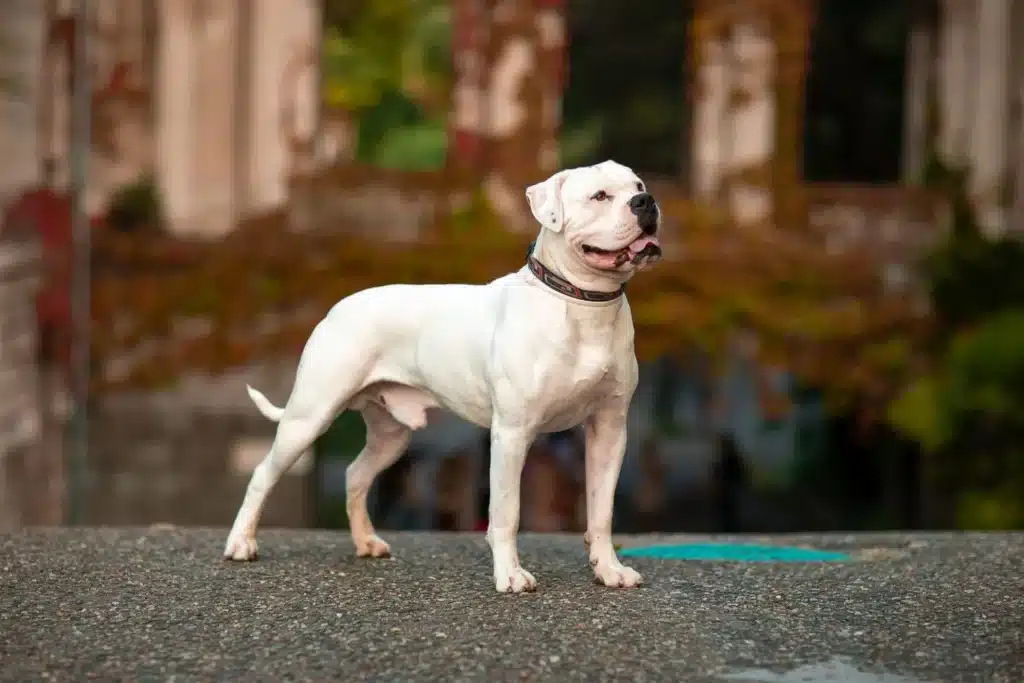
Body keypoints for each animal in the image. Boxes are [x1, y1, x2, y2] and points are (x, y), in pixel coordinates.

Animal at [224, 160, 663, 593]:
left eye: (638, 186)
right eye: (599, 196)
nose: (646, 202)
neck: (582, 303)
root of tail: (338, 307)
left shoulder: (609, 430)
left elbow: (601, 510)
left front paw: (609, 569)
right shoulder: (513, 433)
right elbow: (507, 511)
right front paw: (510, 575)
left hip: (391, 436)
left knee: (355, 474)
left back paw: (366, 541)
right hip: (309, 417)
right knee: (263, 473)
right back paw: (241, 543)